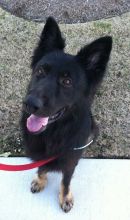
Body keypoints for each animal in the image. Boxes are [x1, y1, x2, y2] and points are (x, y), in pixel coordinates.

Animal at [20, 17, 112, 213]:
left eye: (67, 81)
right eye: (40, 71)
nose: (30, 104)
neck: (53, 133)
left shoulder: (70, 159)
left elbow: (66, 180)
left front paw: (65, 197)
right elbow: (41, 168)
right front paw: (40, 180)